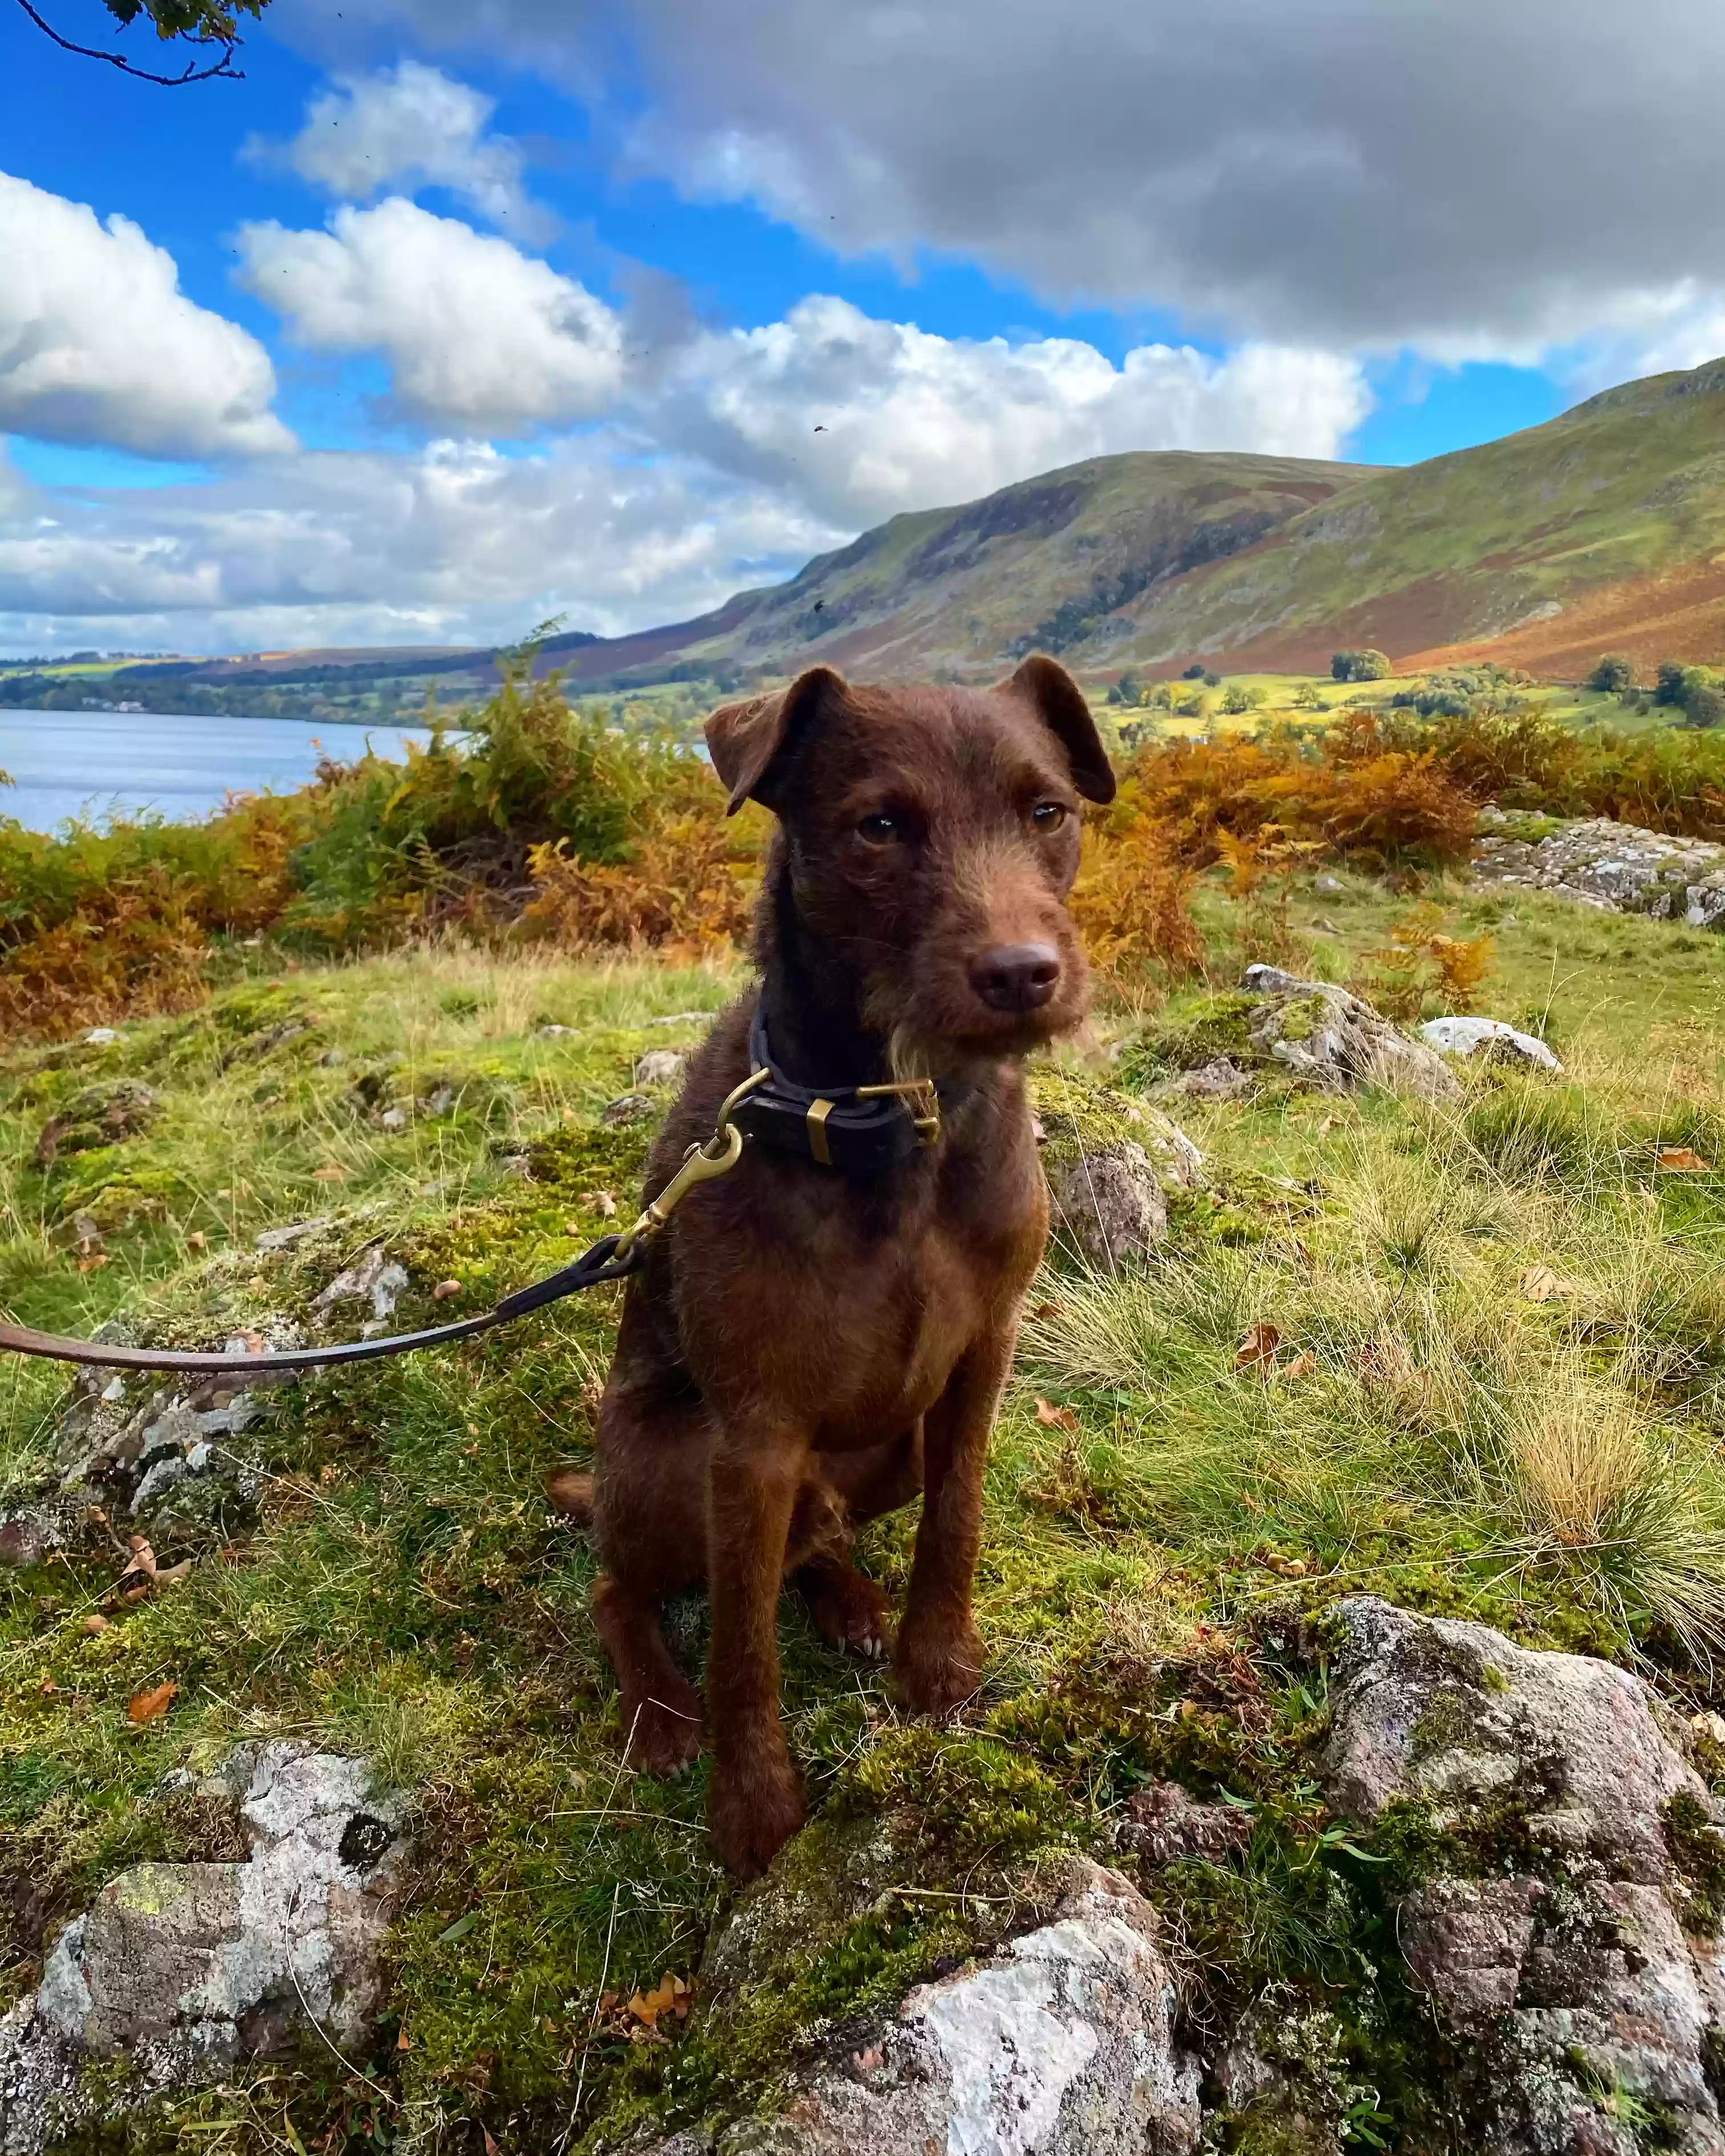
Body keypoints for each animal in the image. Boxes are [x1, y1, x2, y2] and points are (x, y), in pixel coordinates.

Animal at [556, 647, 1121, 1880]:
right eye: (879, 826)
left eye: (1046, 812)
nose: (1023, 974)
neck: (887, 1120)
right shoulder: (752, 1440)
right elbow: (740, 1648)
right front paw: (753, 1813)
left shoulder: (981, 1359)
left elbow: (956, 1518)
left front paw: (934, 1668)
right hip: (665, 1463)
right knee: (624, 1587)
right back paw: (658, 1712)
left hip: (879, 1454)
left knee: (812, 1547)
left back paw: (852, 1600)